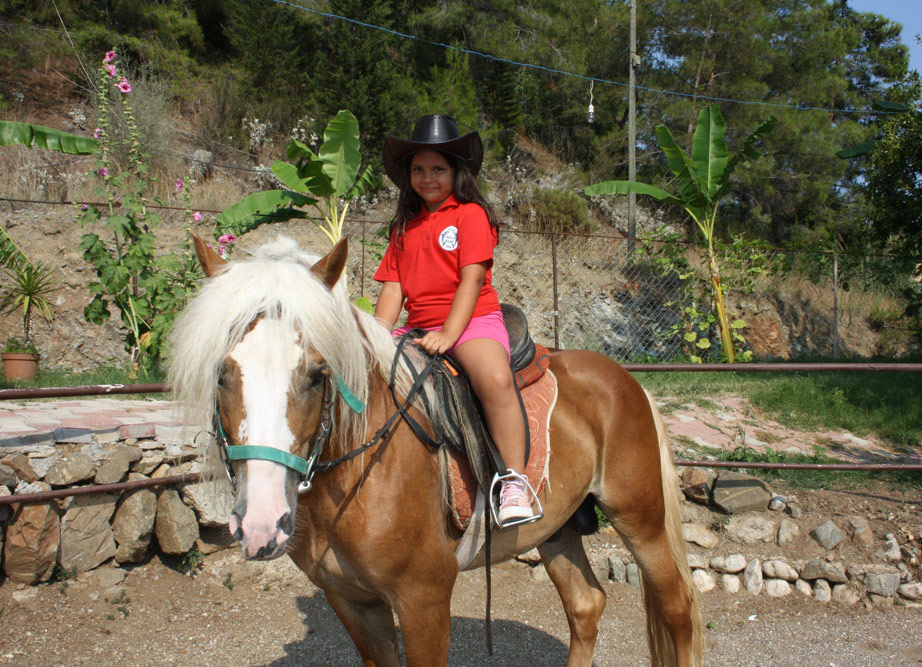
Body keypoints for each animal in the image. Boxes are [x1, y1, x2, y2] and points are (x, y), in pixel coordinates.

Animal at [167, 234, 696, 664]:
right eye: (222, 374)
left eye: (318, 375)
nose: (261, 524)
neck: (360, 472)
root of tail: (625, 379)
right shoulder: (353, 603)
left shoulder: (425, 599)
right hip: (557, 528)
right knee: (586, 605)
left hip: (639, 518)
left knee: (677, 608)